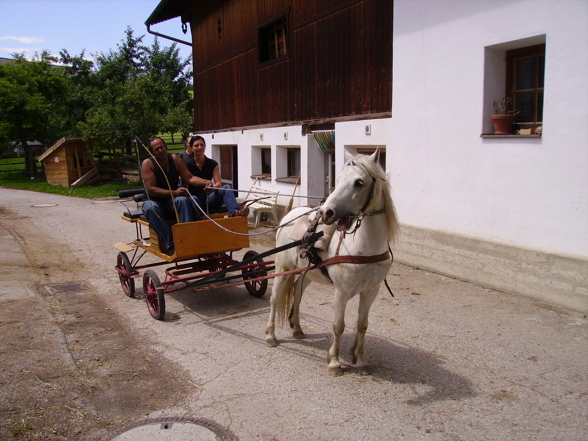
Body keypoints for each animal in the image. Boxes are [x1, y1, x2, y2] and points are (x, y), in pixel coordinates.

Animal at [266, 149, 400, 374]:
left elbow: (362, 325)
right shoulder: (341, 292)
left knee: (297, 294)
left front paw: (361, 361)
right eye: (338, 180)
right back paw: (270, 335)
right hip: (283, 268)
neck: (365, 246)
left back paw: (297, 328)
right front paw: (335, 362)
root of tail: (289, 215)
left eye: (359, 182)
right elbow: (339, 326)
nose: (325, 212)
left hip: (307, 273)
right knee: (275, 299)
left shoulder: (370, 291)